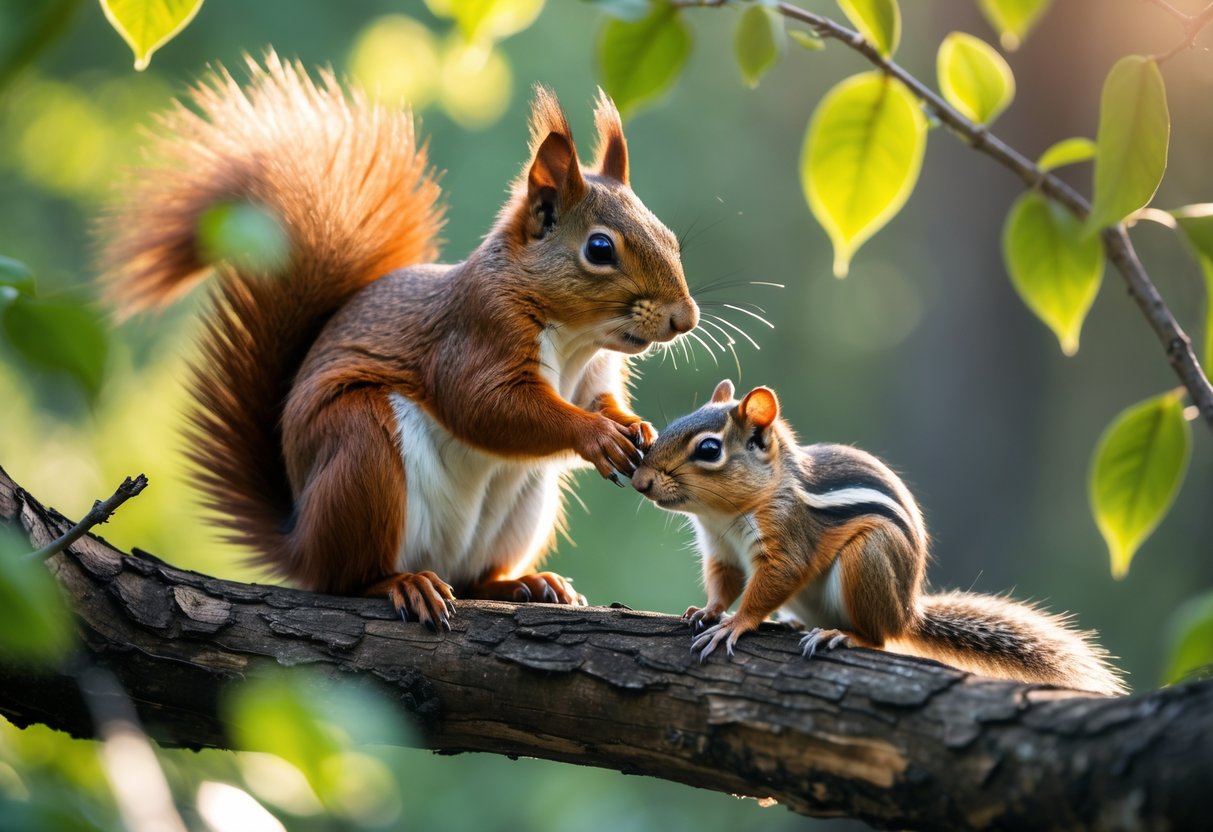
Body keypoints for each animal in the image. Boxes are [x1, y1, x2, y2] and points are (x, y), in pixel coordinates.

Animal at [100, 52, 697, 631]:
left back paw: (524, 583)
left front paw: (632, 424)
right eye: (599, 249)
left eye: (671, 237)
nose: (684, 319)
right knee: (348, 578)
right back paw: (401, 583)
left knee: (475, 577)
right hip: (360, 448)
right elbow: (486, 405)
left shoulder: (595, 372)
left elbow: (597, 399)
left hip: (525, 506)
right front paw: (597, 435)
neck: (575, 339)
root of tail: (301, 543)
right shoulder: (478, 331)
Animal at [630, 380, 1127, 696]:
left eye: (709, 449)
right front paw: (708, 611)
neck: (725, 515)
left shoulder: (787, 538)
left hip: (868, 557)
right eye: (673, 423)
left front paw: (735, 623)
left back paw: (841, 635)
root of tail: (907, 611)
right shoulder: (722, 551)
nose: (639, 480)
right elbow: (724, 582)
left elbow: (771, 583)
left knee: (880, 638)